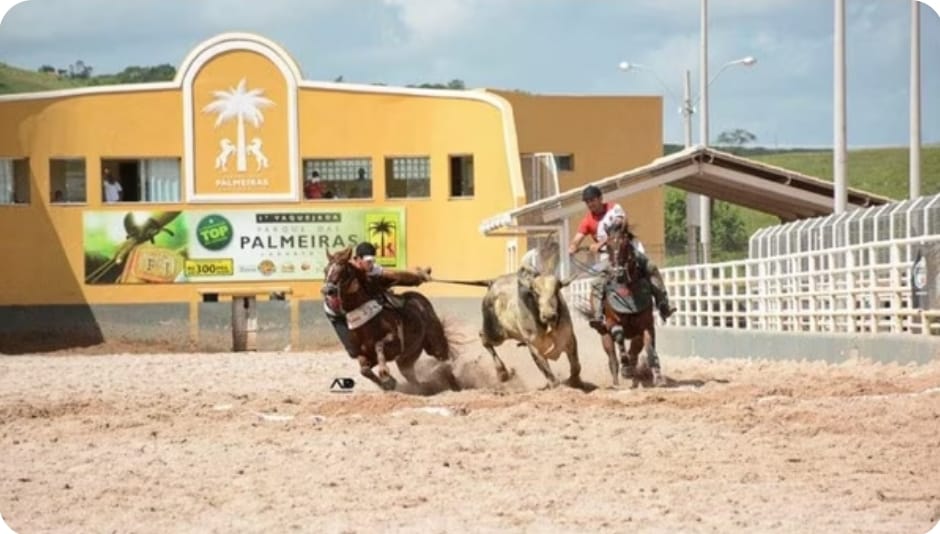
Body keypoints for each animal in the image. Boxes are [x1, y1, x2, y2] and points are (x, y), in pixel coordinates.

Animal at [322, 247, 460, 394]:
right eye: (325, 270)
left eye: (343, 271)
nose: (328, 290)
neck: (367, 322)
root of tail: (420, 301)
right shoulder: (366, 355)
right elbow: (364, 370)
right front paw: (388, 383)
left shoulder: (395, 343)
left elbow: (379, 345)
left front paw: (386, 375)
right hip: (407, 357)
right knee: (410, 374)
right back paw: (423, 389)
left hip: (434, 343)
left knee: (444, 362)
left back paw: (455, 386)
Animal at [596, 223, 660, 390]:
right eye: (608, 246)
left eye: (625, 245)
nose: (618, 273)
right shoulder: (612, 322)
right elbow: (618, 335)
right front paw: (625, 368)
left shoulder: (646, 326)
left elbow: (649, 346)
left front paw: (658, 376)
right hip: (604, 336)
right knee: (613, 359)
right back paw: (618, 381)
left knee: (634, 354)